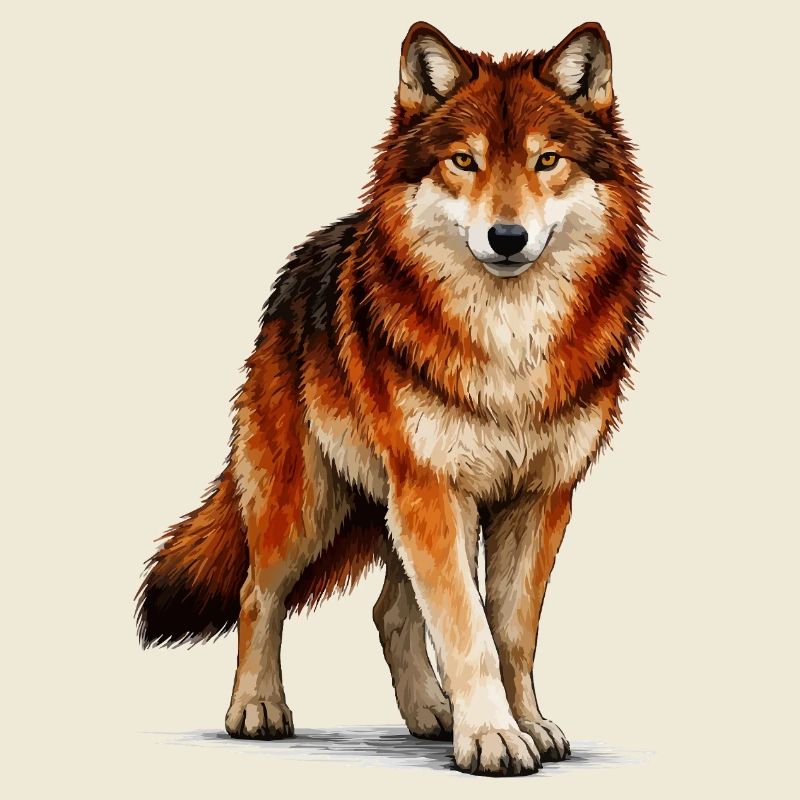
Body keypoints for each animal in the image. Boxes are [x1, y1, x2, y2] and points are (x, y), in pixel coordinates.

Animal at [137, 20, 649, 776]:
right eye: (463, 162)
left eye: (546, 160)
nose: (507, 238)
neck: (509, 342)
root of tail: (302, 264)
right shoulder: (434, 490)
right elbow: (469, 631)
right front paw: (493, 738)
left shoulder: (540, 499)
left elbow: (511, 633)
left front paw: (526, 724)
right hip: (311, 504)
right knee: (259, 593)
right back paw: (257, 709)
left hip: (398, 508)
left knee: (390, 612)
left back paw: (432, 715)